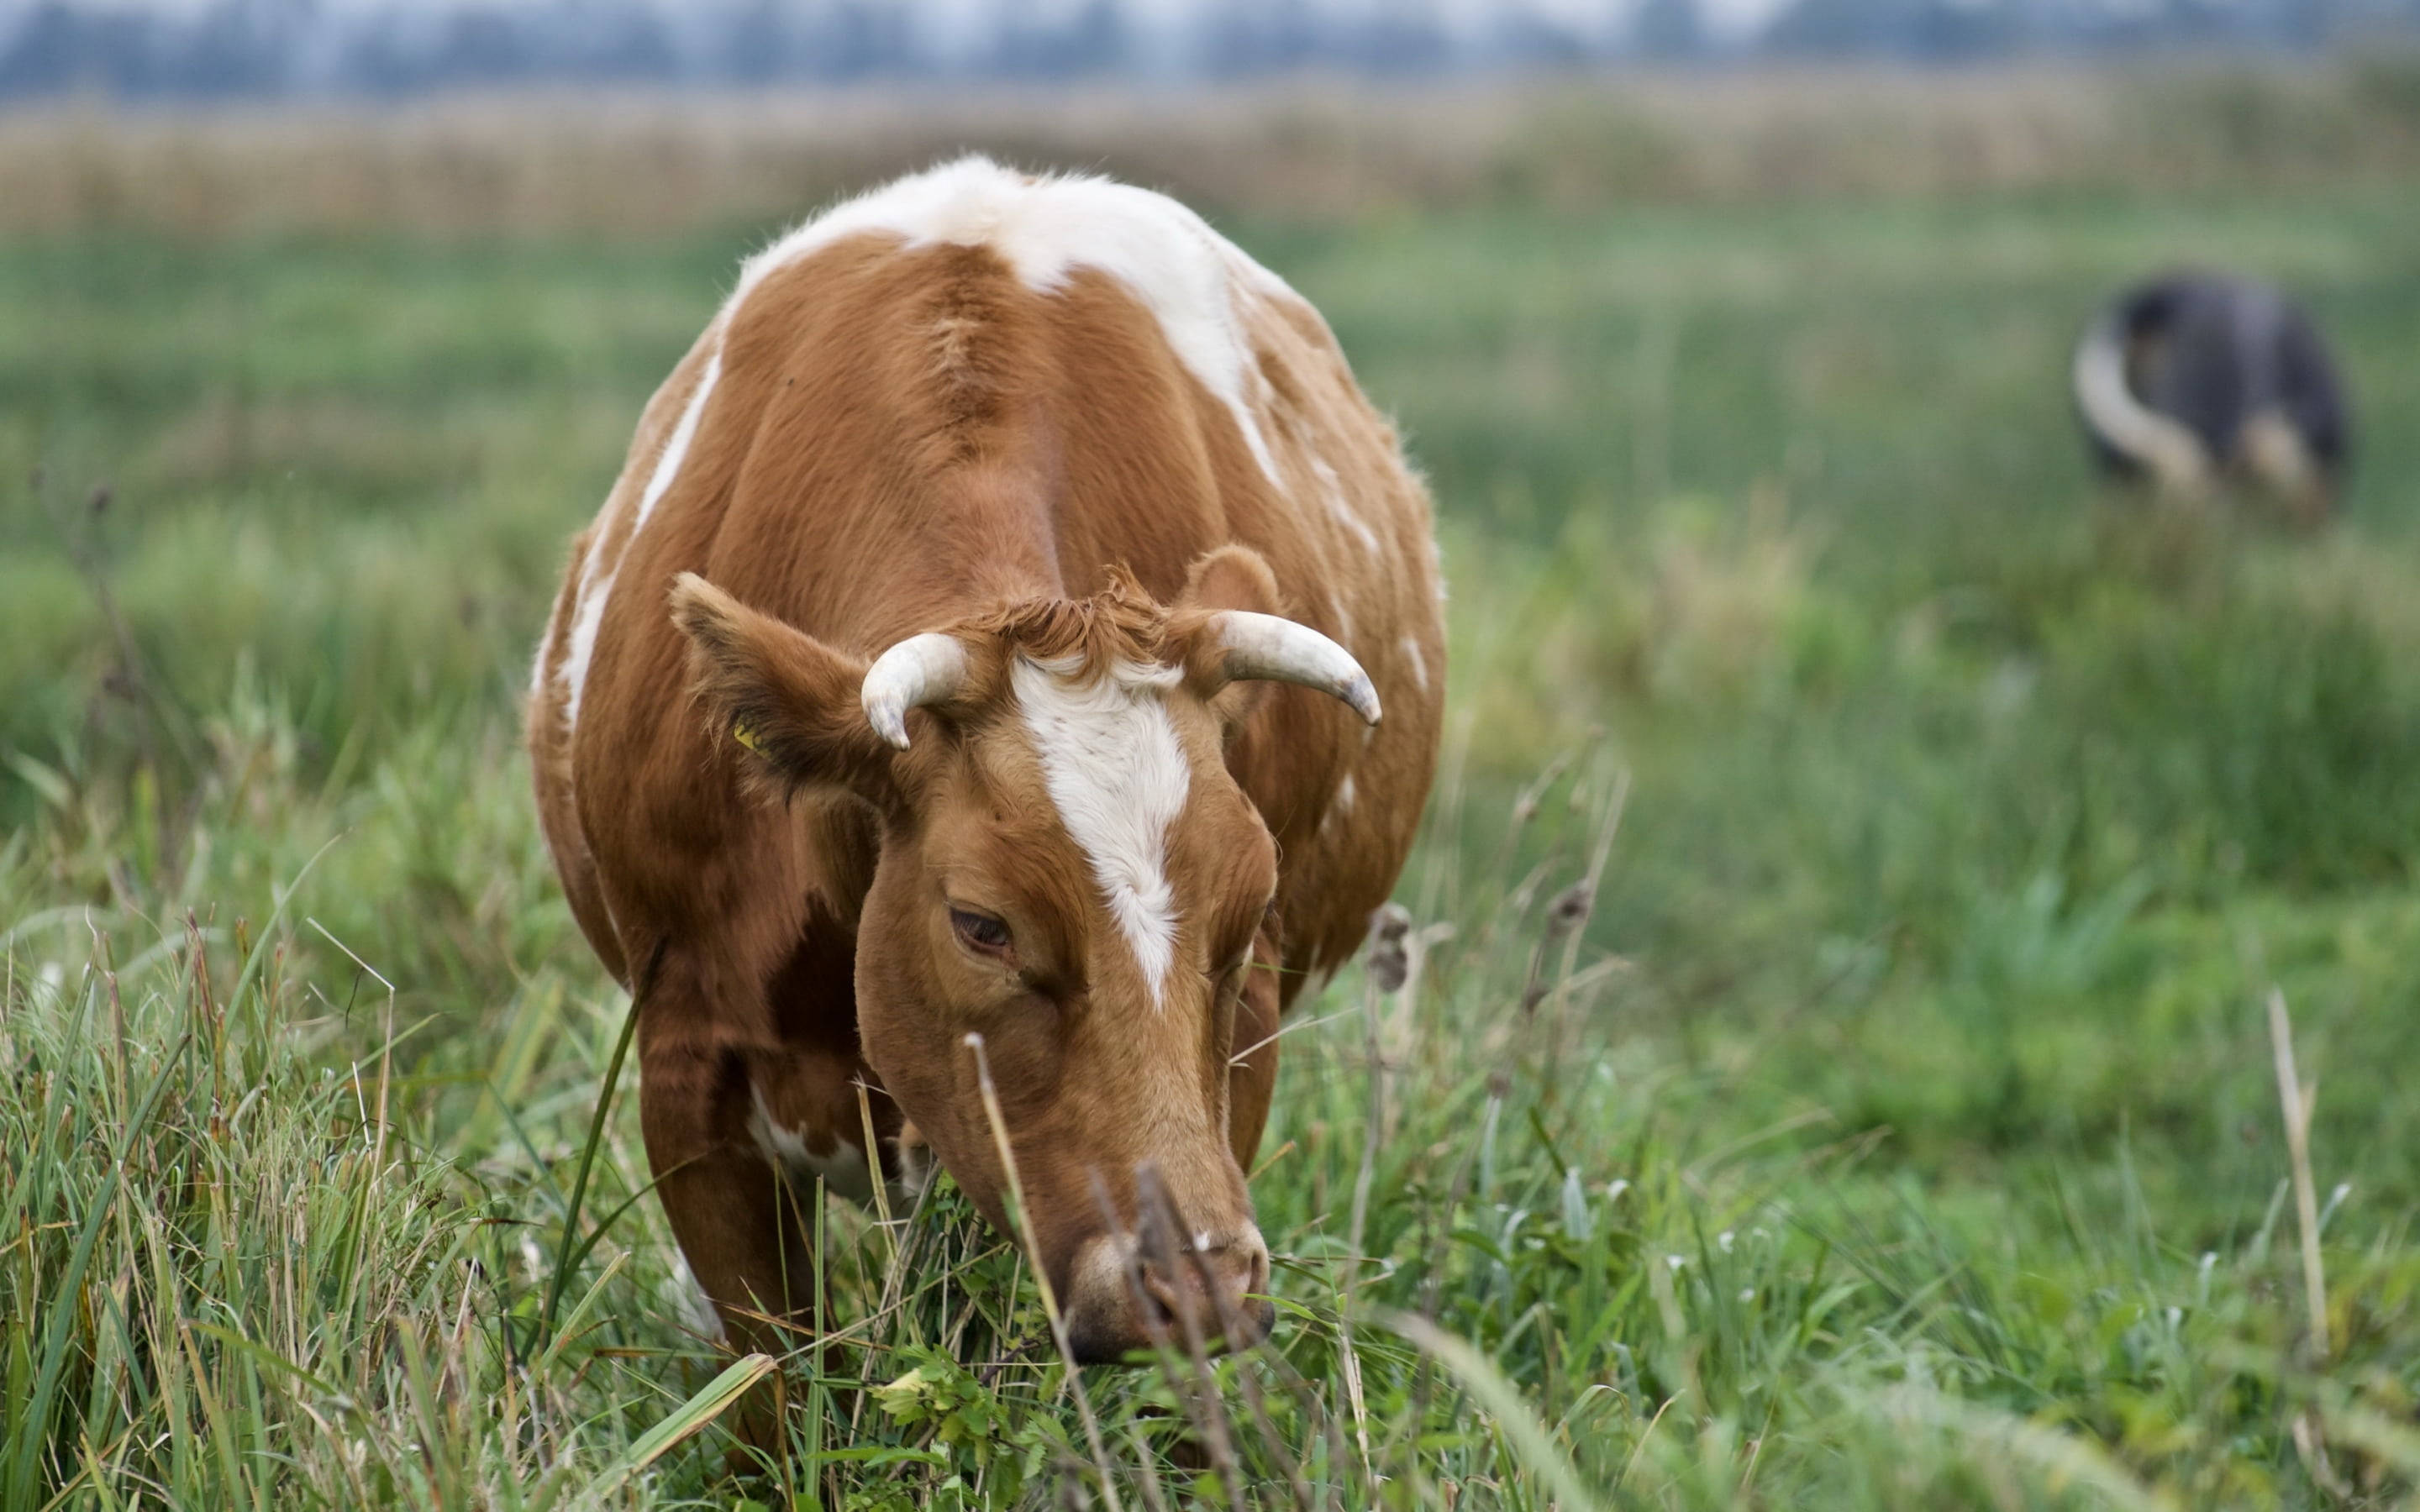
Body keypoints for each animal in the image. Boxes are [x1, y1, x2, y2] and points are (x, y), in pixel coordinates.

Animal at [526, 157, 1444, 1395]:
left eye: (1251, 910)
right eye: (981, 925)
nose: (1189, 1285)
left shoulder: (1237, 1060)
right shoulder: (685, 1072)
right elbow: (774, 1388)